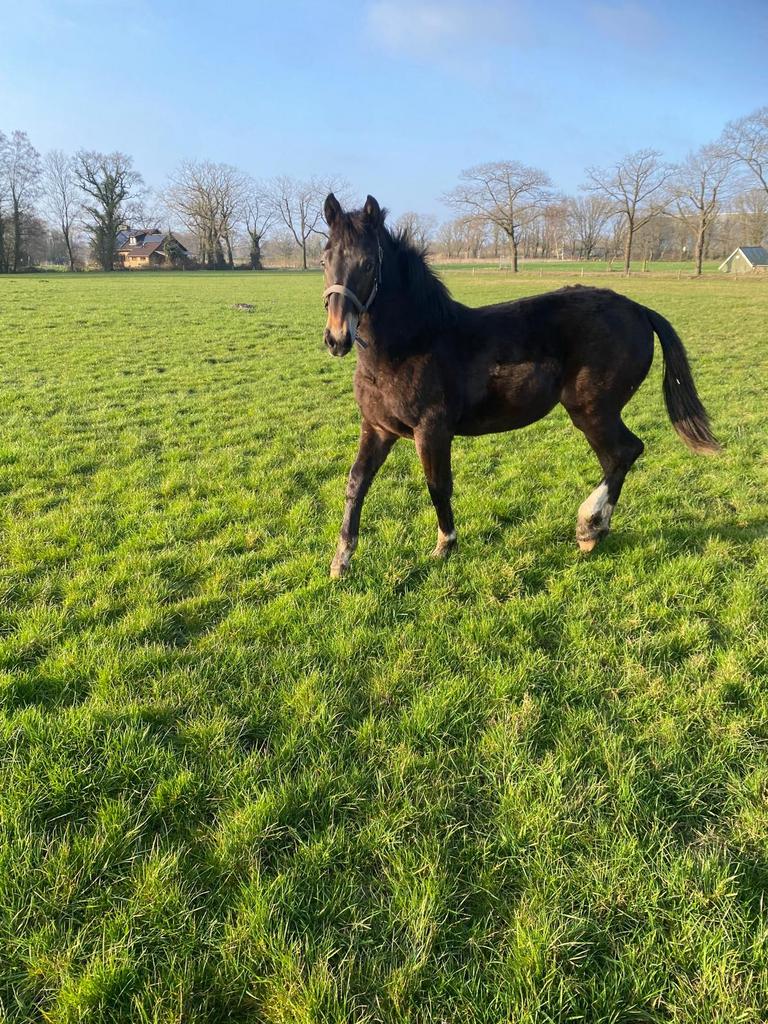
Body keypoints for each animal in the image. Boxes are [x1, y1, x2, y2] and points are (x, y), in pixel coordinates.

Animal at [321, 193, 719, 579]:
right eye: (325, 259)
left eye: (368, 264)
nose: (337, 338)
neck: (413, 343)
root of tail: (638, 309)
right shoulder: (377, 428)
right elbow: (356, 482)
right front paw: (341, 561)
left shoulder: (432, 430)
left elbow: (438, 485)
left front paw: (445, 546)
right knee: (617, 456)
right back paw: (596, 529)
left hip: (593, 410)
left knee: (624, 452)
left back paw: (588, 528)